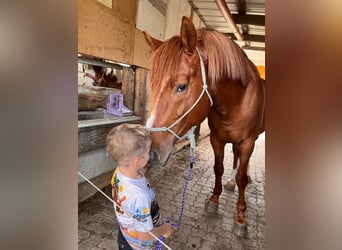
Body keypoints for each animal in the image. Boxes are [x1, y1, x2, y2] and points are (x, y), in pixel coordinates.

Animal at [143, 16, 266, 236]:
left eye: (182, 86)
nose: (150, 153)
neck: (235, 101)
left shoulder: (248, 142)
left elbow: (242, 179)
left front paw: (241, 218)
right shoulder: (217, 139)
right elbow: (218, 168)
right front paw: (214, 200)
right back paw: (229, 182)